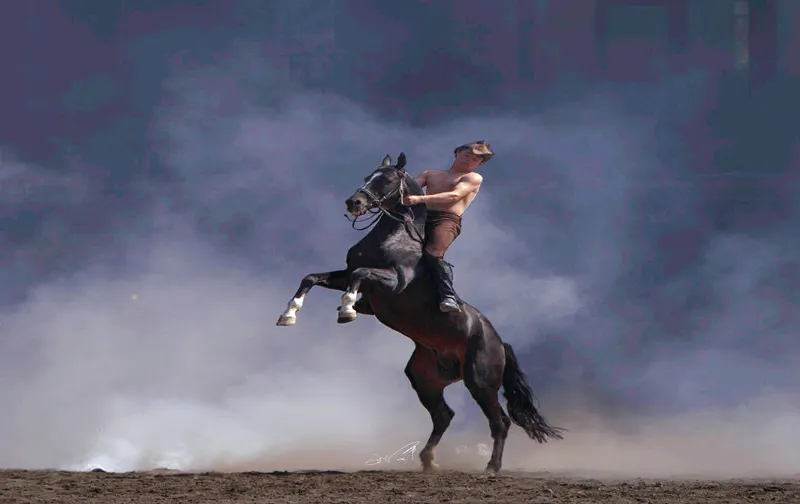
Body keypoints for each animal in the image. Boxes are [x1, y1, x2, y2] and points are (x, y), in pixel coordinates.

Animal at [276, 153, 563, 473]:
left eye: (387, 179)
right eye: (367, 177)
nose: (354, 202)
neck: (395, 237)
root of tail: (500, 342)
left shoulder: (394, 282)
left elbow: (360, 275)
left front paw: (347, 308)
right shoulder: (344, 275)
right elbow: (311, 278)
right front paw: (289, 314)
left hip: (480, 382)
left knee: (499, 422)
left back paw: (491, 468)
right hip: (424, 379)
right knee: (444, 416)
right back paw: (428, 462)